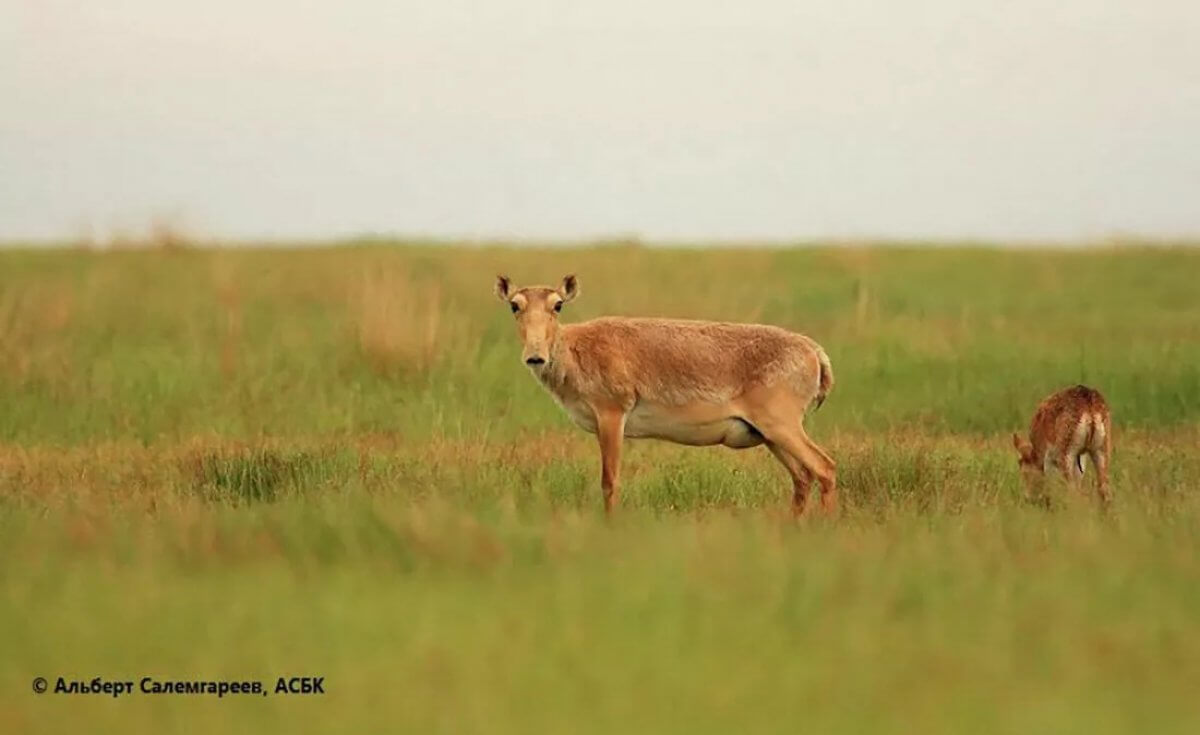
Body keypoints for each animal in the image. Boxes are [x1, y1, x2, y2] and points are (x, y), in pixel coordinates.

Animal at [492, 271, 840, 516]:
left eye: (558, 304)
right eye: (514, 305)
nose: (535, 356)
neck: (575, 349)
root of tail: (815, 352)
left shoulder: (612, 416)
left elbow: (609, 480)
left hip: (782, 427)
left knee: (824, 468)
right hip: (769, 436)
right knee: (802, 477)